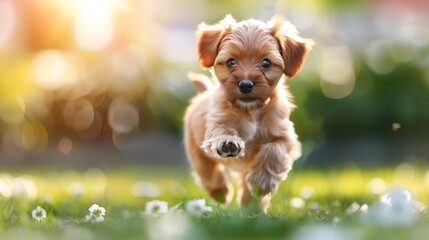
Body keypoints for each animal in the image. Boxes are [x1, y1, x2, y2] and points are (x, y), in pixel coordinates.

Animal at [182, 14, 312, 212]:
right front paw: (227, 143)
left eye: (266, 63)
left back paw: (251, 207)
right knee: (207, 172)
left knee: (244, 185)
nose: (245, 84)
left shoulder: (285, 138)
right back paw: (220, 192)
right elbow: (222, 132)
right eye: (230, 62)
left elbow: (273, 151)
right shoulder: (216, 125)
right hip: (196, 151)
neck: (251, 111)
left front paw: (261, 182)